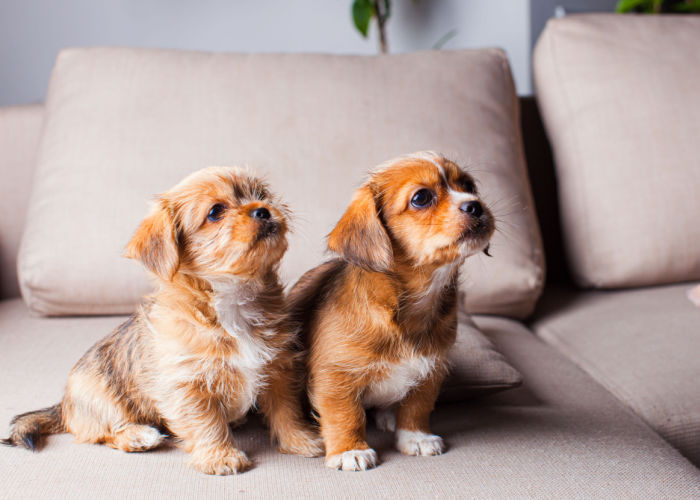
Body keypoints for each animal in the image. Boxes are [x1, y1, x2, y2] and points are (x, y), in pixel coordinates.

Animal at [2, 167, 322, 472]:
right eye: (215, 212)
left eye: (262, 195)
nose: (263, 210)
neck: (232, 301)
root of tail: (63, 405)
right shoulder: (188, 385)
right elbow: (207, 423)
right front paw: (220, 456)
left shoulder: (279, 368)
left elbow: (286, 411)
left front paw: (301, 441)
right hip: (100, 398)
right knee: (101, 431)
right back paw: (137, 436)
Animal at [288, 151, 494, 468]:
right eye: (421, 198)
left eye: (469, 186)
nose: (476, 205)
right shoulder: (335, 375)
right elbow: (346, 415)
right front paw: (349, 450)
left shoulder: (431, 369)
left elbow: (417, 407)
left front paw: (415, 437)